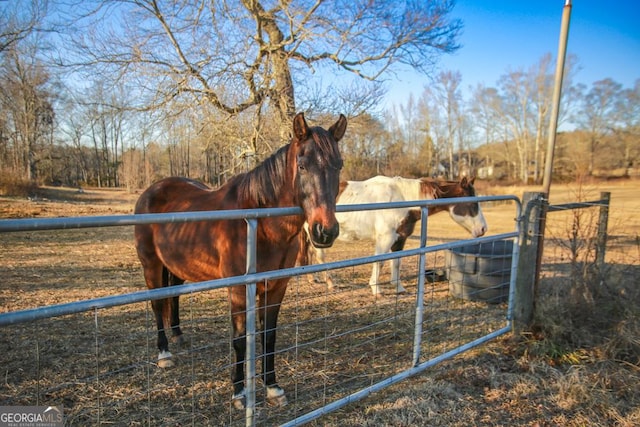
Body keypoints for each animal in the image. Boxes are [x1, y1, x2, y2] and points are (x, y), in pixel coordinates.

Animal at [133, 113, 348, 408]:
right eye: (302, 165)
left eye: (339, 166)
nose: (325, 231)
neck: (260, 225)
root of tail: (150, 191)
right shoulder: (238, 289)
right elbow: (240, 339)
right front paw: (239, 393)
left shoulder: (276, 287)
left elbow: (268, 336)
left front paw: (273, 387)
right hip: (151, 264)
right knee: (156, 303)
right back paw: (164, 354)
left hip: (175, 264)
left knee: (173, 295)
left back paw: (179, 337)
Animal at [298, 176, 488, 296]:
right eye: (472, 204)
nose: (483, 229)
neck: (402, 199)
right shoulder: (385, 238)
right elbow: (380, 262)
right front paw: (376, 290)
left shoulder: (400, 238)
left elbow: (396, 262)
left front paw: (398, 287)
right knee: (320, 256)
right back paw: (330, 283)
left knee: (308, 254)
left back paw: (313, 279)